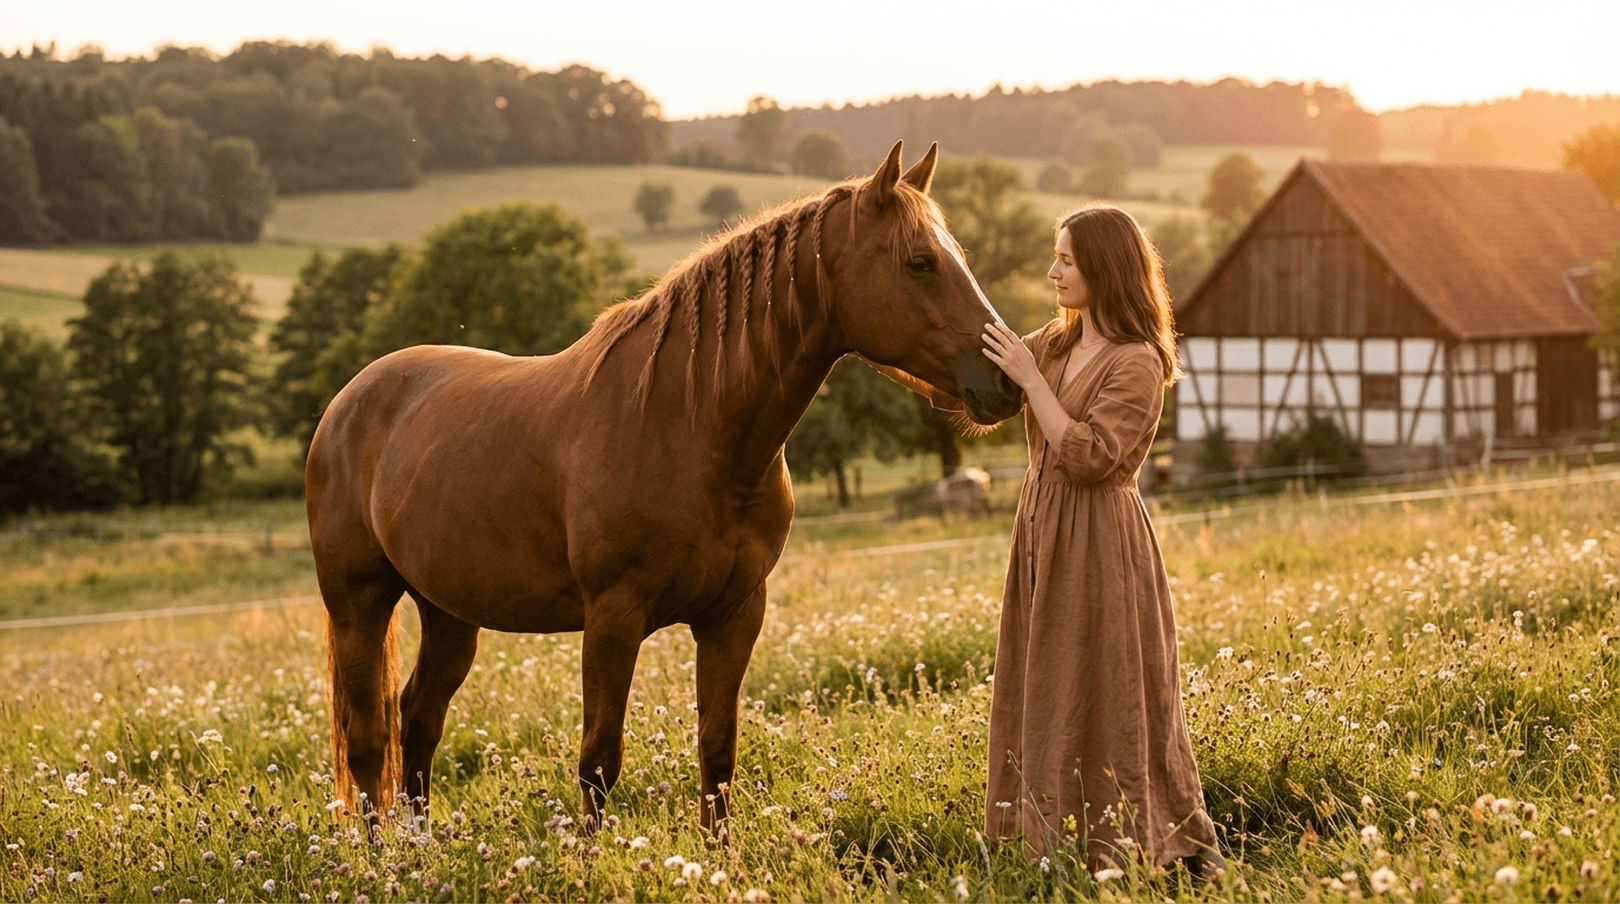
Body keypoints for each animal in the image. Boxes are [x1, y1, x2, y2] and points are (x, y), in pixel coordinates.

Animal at [305, 141, 1024, 838]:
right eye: (920, 262)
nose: (1007, 382)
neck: (685, 424)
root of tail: (349, 401)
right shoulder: (613, 617)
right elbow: (599, 758)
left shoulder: (735, 614)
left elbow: (718, 749)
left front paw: (719, 855)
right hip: (359, 603)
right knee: (368, 739)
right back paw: (383, 857)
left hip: (449, 610)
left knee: (419, 718)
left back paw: (420, 849)